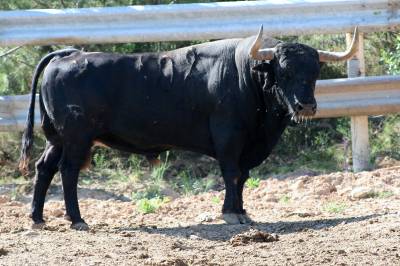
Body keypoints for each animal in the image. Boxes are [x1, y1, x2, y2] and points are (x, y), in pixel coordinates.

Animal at [18, 27, 358, 231]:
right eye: (284, 71)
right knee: (68, 170)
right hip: (77, 138)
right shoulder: (229, 138)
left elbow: (243, 177)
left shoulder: (248, 145)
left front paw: (242, 211)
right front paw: (231, 213)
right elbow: (232, 174)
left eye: (314, 72)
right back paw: (77, 219)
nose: (306, 106)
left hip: (57, 138)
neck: (246, 76)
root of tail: (68, 54)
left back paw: (37, 218)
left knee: (44, 168)